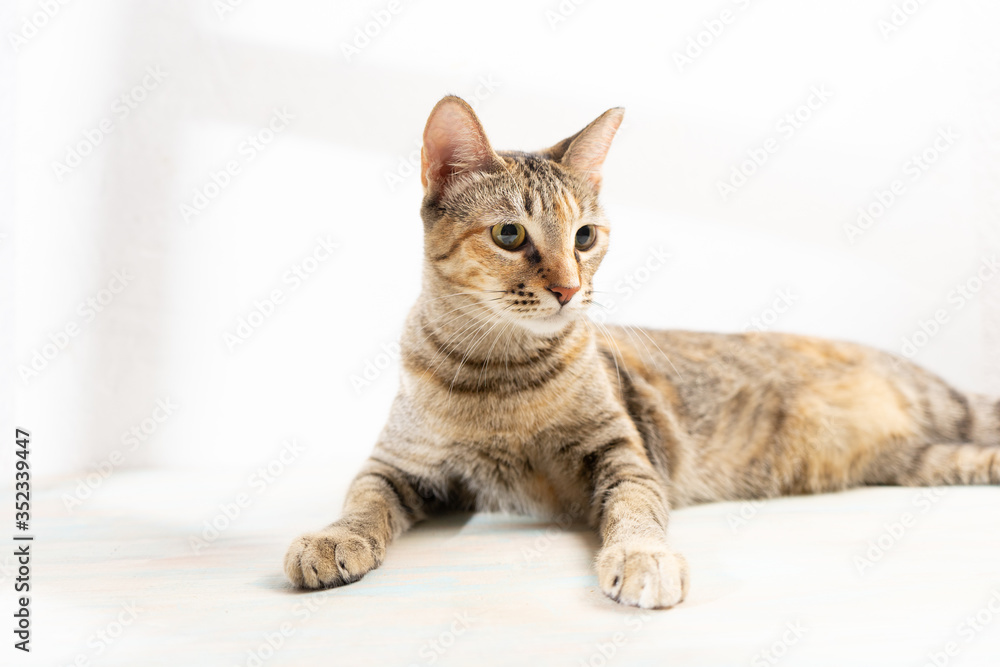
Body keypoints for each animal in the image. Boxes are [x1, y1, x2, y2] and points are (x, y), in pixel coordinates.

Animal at [284, 95, 1000, 612]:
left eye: (585, 236)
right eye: (510, 234)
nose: (569, 289)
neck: (502, 374)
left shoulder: (625, 455)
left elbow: (636, 514)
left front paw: (642, 560)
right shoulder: (398, 465)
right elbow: (363, 502)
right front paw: (333, 538)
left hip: (954, 409)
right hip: (925, 459)